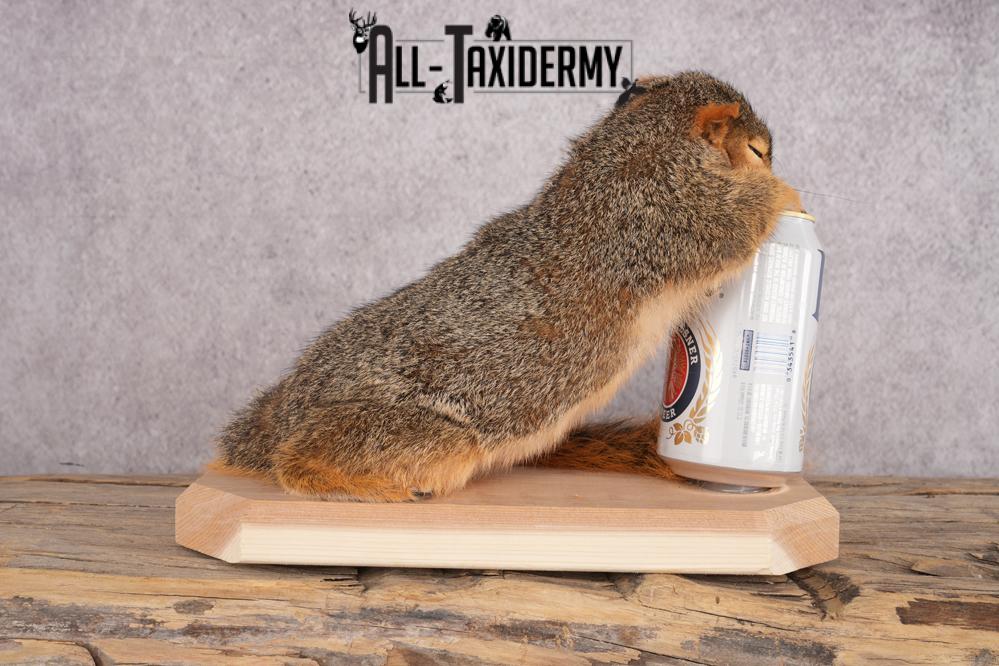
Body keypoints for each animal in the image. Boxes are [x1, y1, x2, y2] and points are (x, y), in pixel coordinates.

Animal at [214, 71, 803, 501]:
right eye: (756, 149)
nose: (773, 154)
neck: (628, 150)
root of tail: (277, 419)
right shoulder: (662, 218)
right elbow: (732, 224)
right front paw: (785, 193)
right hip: (423, 434)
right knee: (298, 461)